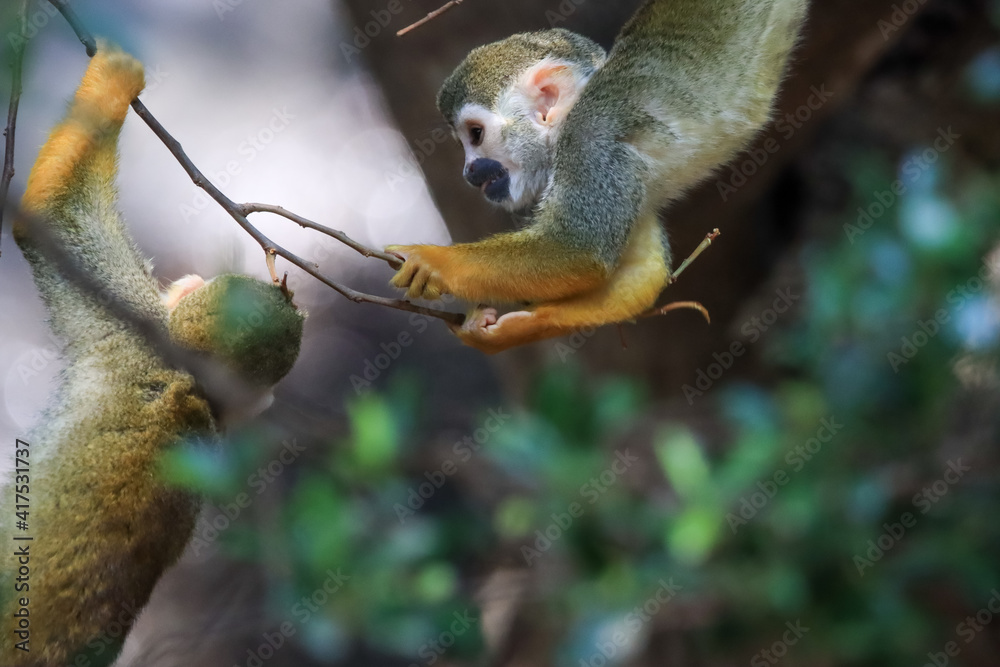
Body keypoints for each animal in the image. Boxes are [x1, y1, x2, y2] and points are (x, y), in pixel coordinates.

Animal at [388, 0, 809, 354]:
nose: (469, 171)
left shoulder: (591, 141)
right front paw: (515, 329)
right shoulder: (617, 171)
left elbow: (578, 251)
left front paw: (432, 261)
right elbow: (646, 271)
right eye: (464, 143)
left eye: (475, 135)